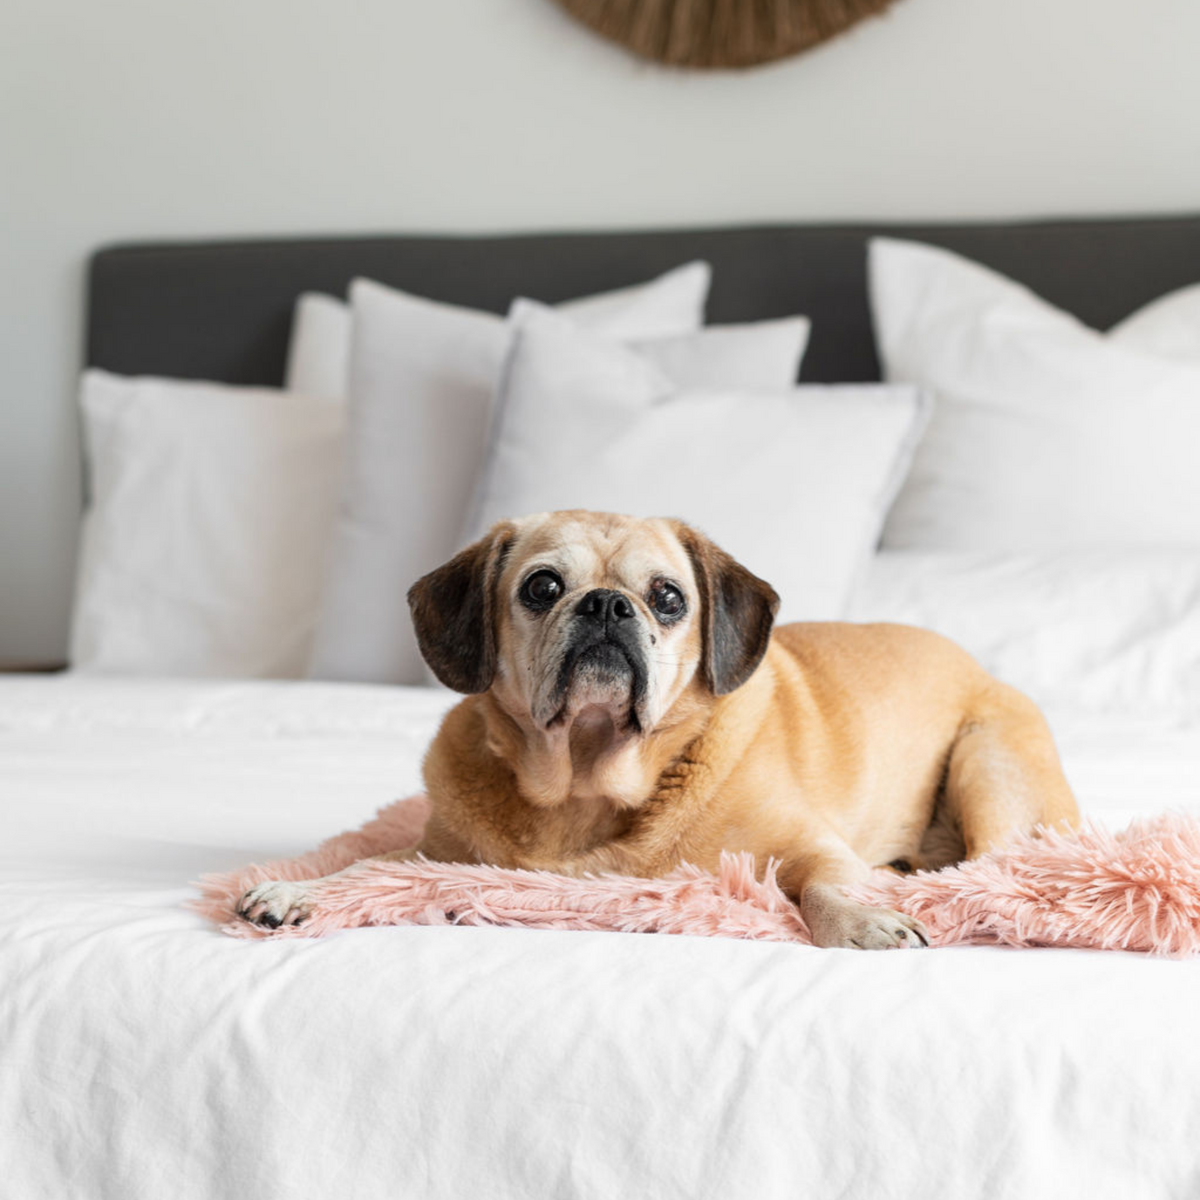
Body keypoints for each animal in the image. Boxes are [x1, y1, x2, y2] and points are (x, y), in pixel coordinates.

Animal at [238, 511, 1084, 950]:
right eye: (542, 587)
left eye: (668, 598)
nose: (608, 606)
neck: (585, 780)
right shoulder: (445, 856)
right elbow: (369, 866)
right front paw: (299, 887)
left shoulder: (813, 848)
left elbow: (827, 884)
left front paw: (864, 917)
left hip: (985, 766)